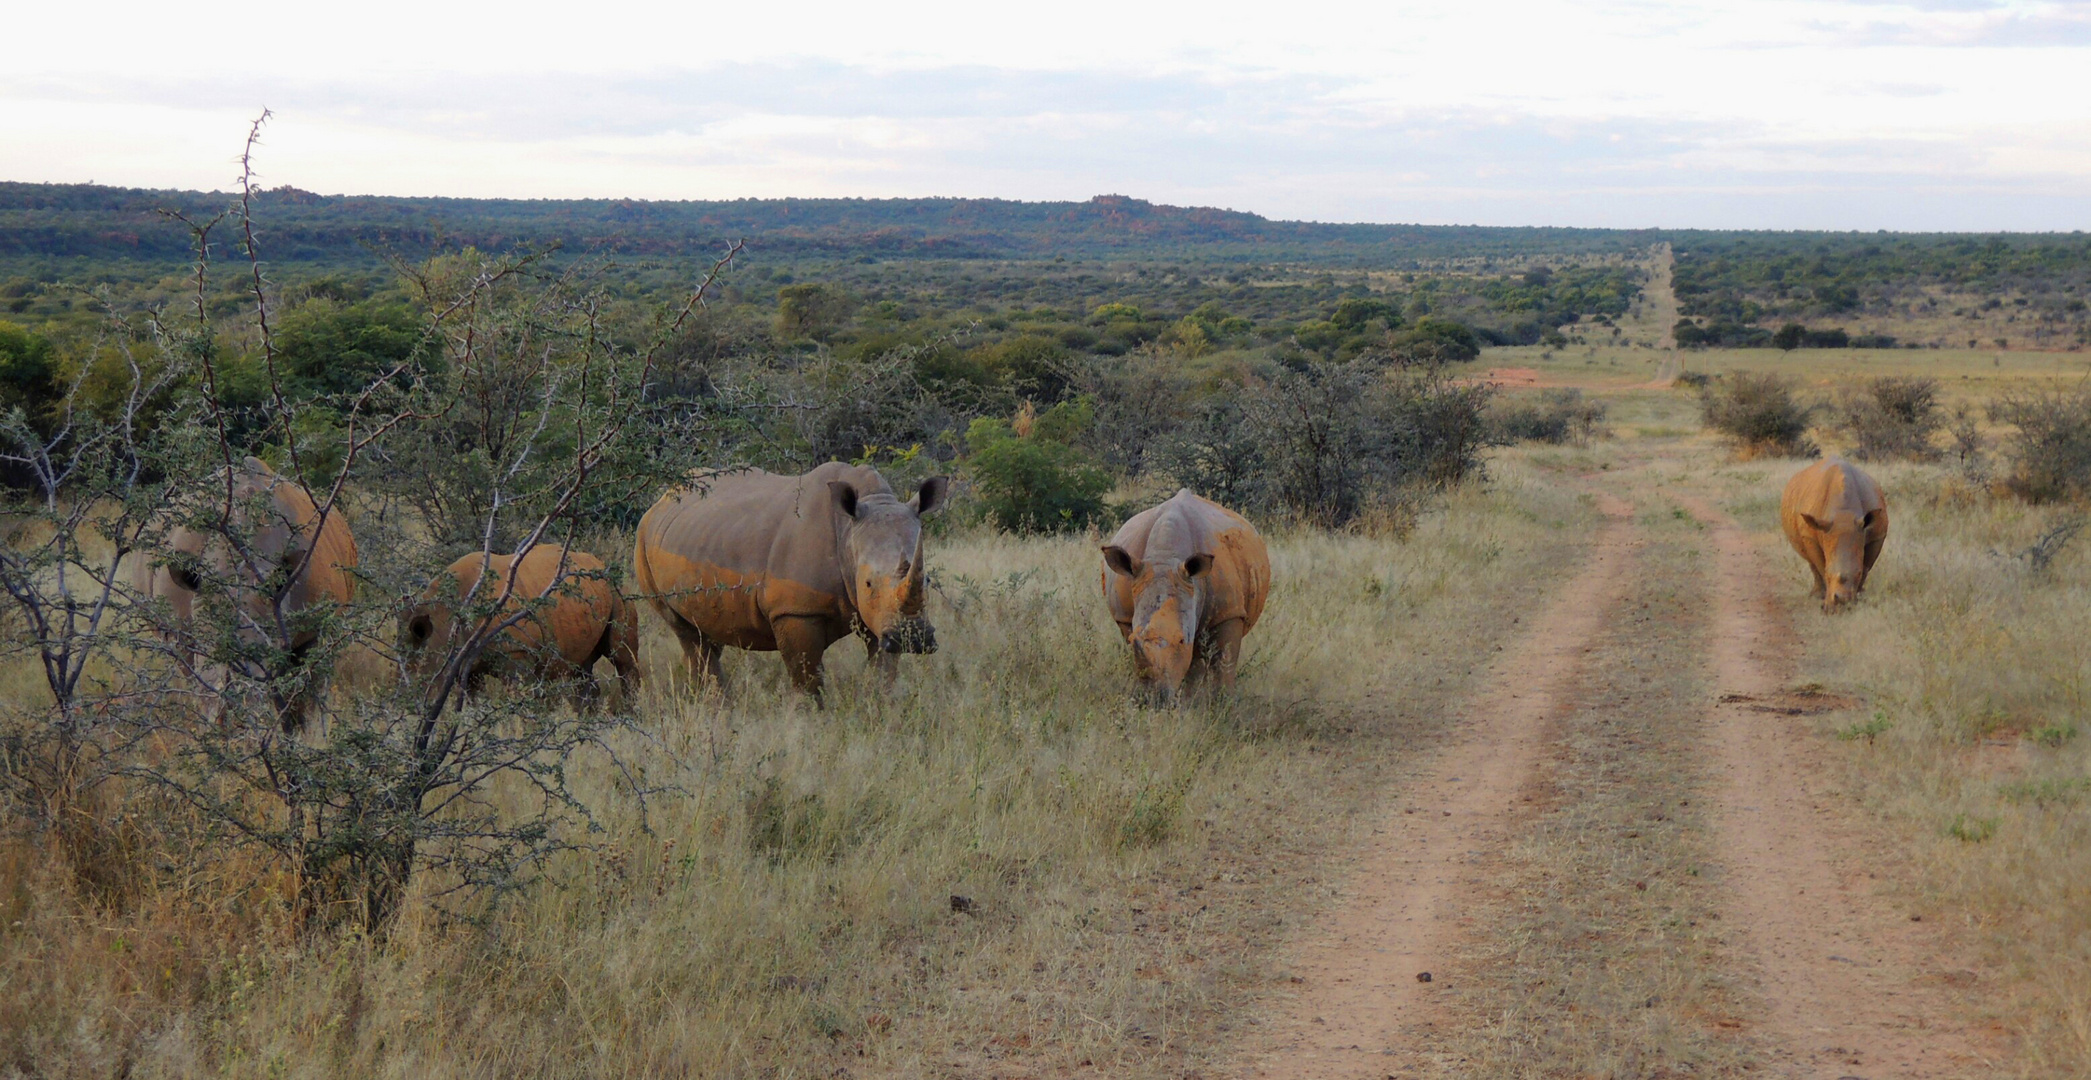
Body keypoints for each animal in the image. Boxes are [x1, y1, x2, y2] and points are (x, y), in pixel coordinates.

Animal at [401, 540, 635, 699]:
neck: (444, 620)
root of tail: (598, 561)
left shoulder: (518, 652)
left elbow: (516, 697)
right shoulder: (468, 663)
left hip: (615, 588)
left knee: (622, 658)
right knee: (580, 665)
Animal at [623, 464, 945, 699]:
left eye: (927, 579)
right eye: (867, 583)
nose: (914, 639)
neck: (849, 531)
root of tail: (660, 501)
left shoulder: (881, 616)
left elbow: (883, 665)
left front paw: (879, 702)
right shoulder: (795, 611)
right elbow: (807, 675)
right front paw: (810, 718)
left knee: (705, 630)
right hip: (642, 541)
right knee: (686, 632)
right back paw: (718, 704)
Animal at [1104, 487, 1262, 694]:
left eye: (1181, 640)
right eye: (1134, 638)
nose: (1157, 697)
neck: (1165, 557)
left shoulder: (1229, 612)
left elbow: (1224, 665)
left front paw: (1222, 699)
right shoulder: (1124, 616)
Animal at [1781, 456, 1898, 611]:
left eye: (1858, 573)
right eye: (1828, 573)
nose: (1843, 602)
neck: (1843, 512)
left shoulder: (1877, 536)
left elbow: (1867, 567)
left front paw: (1859, 597)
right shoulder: (1811, 535)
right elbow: (1820, 565)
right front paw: (1826, 604)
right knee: (1810, 561)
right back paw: (1816, 595)